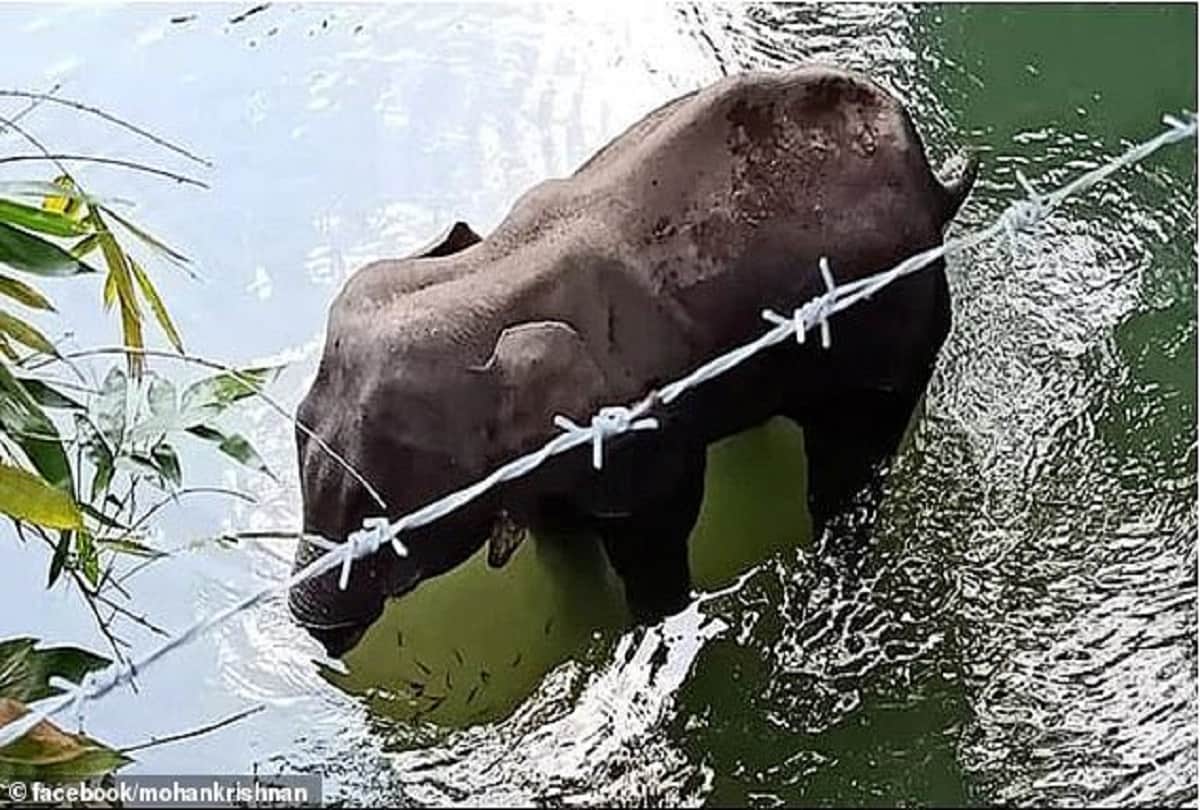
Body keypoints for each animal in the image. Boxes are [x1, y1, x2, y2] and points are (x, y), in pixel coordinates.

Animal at [290, 65, 977, 657]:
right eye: (298, 430)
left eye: (386, 516)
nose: (321, 634)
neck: (493, 274)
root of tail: (934, 183)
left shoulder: (639, 433)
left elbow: (658, 526)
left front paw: (649, 625)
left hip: (897, 325)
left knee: (849, 461)